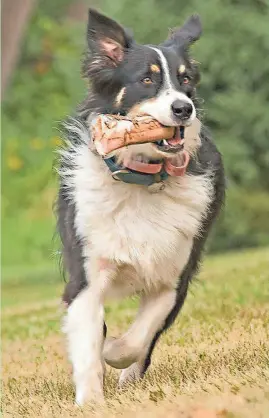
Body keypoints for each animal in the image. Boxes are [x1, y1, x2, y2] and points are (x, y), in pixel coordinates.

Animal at [56, 7, 224, 404]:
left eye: (185, 79)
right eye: (146, 80)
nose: (184, 108)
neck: (141, 178)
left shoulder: (175, 277)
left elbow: (137, 338)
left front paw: (115, 354)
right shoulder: (85, 273)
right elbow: (87, 343)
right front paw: (90, 401)